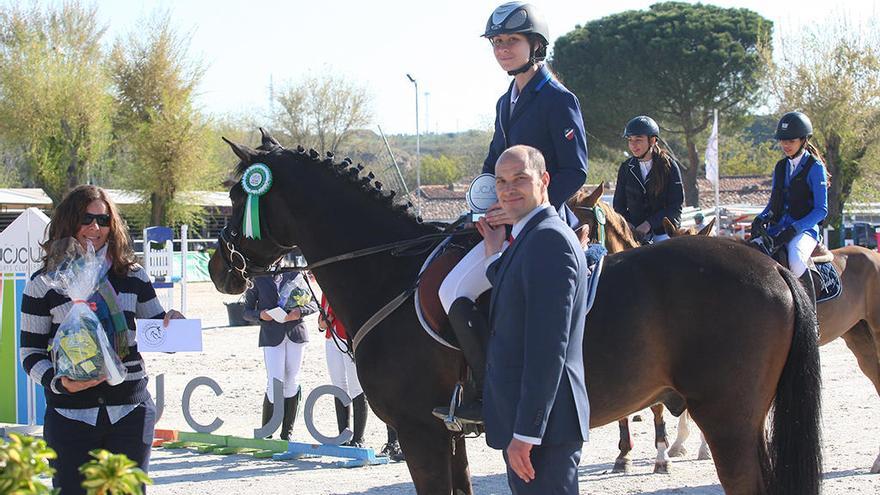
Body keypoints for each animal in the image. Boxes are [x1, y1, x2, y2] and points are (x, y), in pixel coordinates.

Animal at [210, 134, 820, 494]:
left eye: (239, 196)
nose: (220, 269)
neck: (387, 270)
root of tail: (770, 265)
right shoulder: (447, 433)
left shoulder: (419, 431)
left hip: (727, 419)